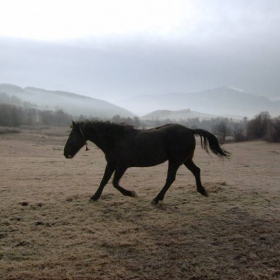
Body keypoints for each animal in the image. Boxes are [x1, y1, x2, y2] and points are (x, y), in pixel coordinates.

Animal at [64, 121, 230, 206]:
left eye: (72, 136)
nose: (66, 153)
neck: (115, 139)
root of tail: (189, 130)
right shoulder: (111, 164)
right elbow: (104, 181)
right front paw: (94, 197)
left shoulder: (121, 166)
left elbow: (115, 183)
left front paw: (131, 193)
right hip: (185, 160)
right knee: (197, 170)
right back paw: (202, 191)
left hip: (175, 161)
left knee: (171, 179)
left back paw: (156, 199)